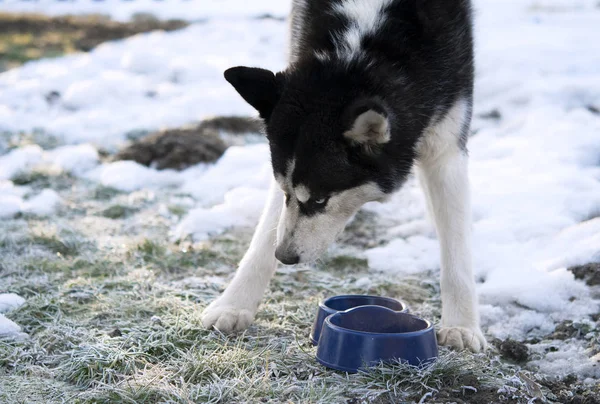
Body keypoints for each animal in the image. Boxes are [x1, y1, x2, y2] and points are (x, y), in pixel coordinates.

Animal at [202, 0, 488, 350]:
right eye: (286, 192)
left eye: (320, 200)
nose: (285, 256)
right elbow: (264, 235)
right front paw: (234, 304)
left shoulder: (447, 144)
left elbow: (456, 250)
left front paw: (462, 325)